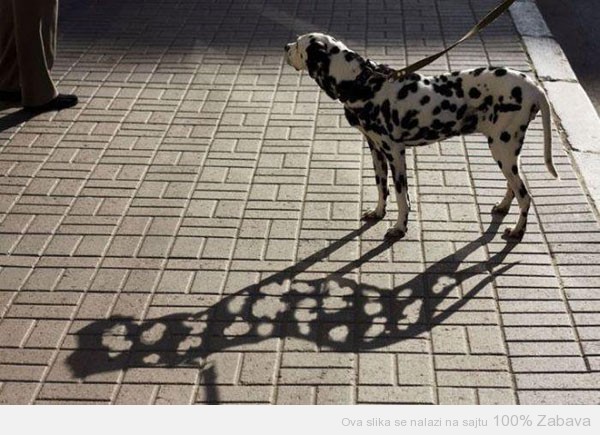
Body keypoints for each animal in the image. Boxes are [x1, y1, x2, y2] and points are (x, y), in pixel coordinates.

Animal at [284, 32, 556, 240]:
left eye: (298, 44)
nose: (285, 46)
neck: (363, 83)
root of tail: (534, 87)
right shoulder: (376, 150)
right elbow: (381, 188)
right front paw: (378, 212)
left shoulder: (395, 153)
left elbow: (401, 196)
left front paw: (399, 228)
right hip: (508, 153)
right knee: (515, 187)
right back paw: (503, 207)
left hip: (502, 150)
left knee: (525, 197)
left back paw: (518, 231)